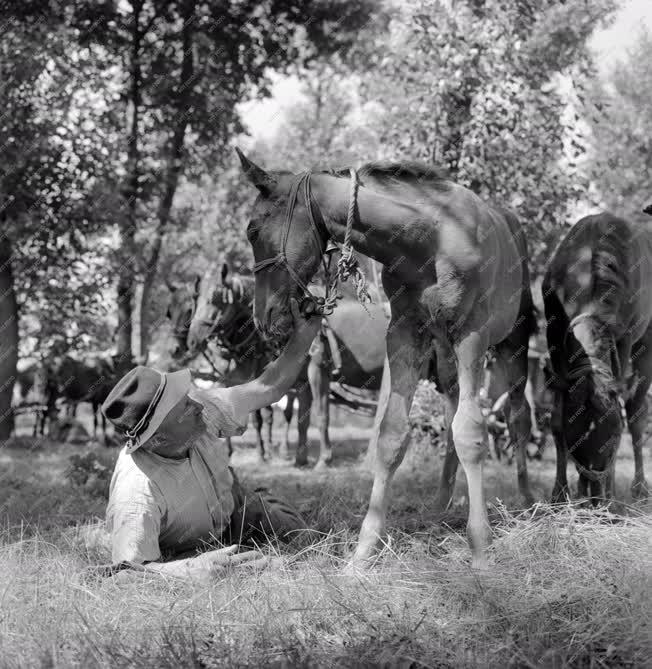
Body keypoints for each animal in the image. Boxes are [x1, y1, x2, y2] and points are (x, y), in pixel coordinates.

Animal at [234, 149, 536, 568]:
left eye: (252, 230)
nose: (262, 318)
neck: (431, 239)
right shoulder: (405, 333)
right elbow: (392, 435)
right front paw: (363, 552)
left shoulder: (471, 335)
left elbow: (472, 432)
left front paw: (479, 548)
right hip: (443, 354)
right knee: (450, 412)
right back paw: (441, 502)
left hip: (513, 340)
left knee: (518, 415)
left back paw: (526, 498)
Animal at [540, 211, 652, 498]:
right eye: (575, 438)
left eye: (614, 437)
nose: (594, 491)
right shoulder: (553, 331)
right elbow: (556, 417)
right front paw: (560, 492)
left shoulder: (624, 336)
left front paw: (611, 494)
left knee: (637, 412)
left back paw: (639, 487)